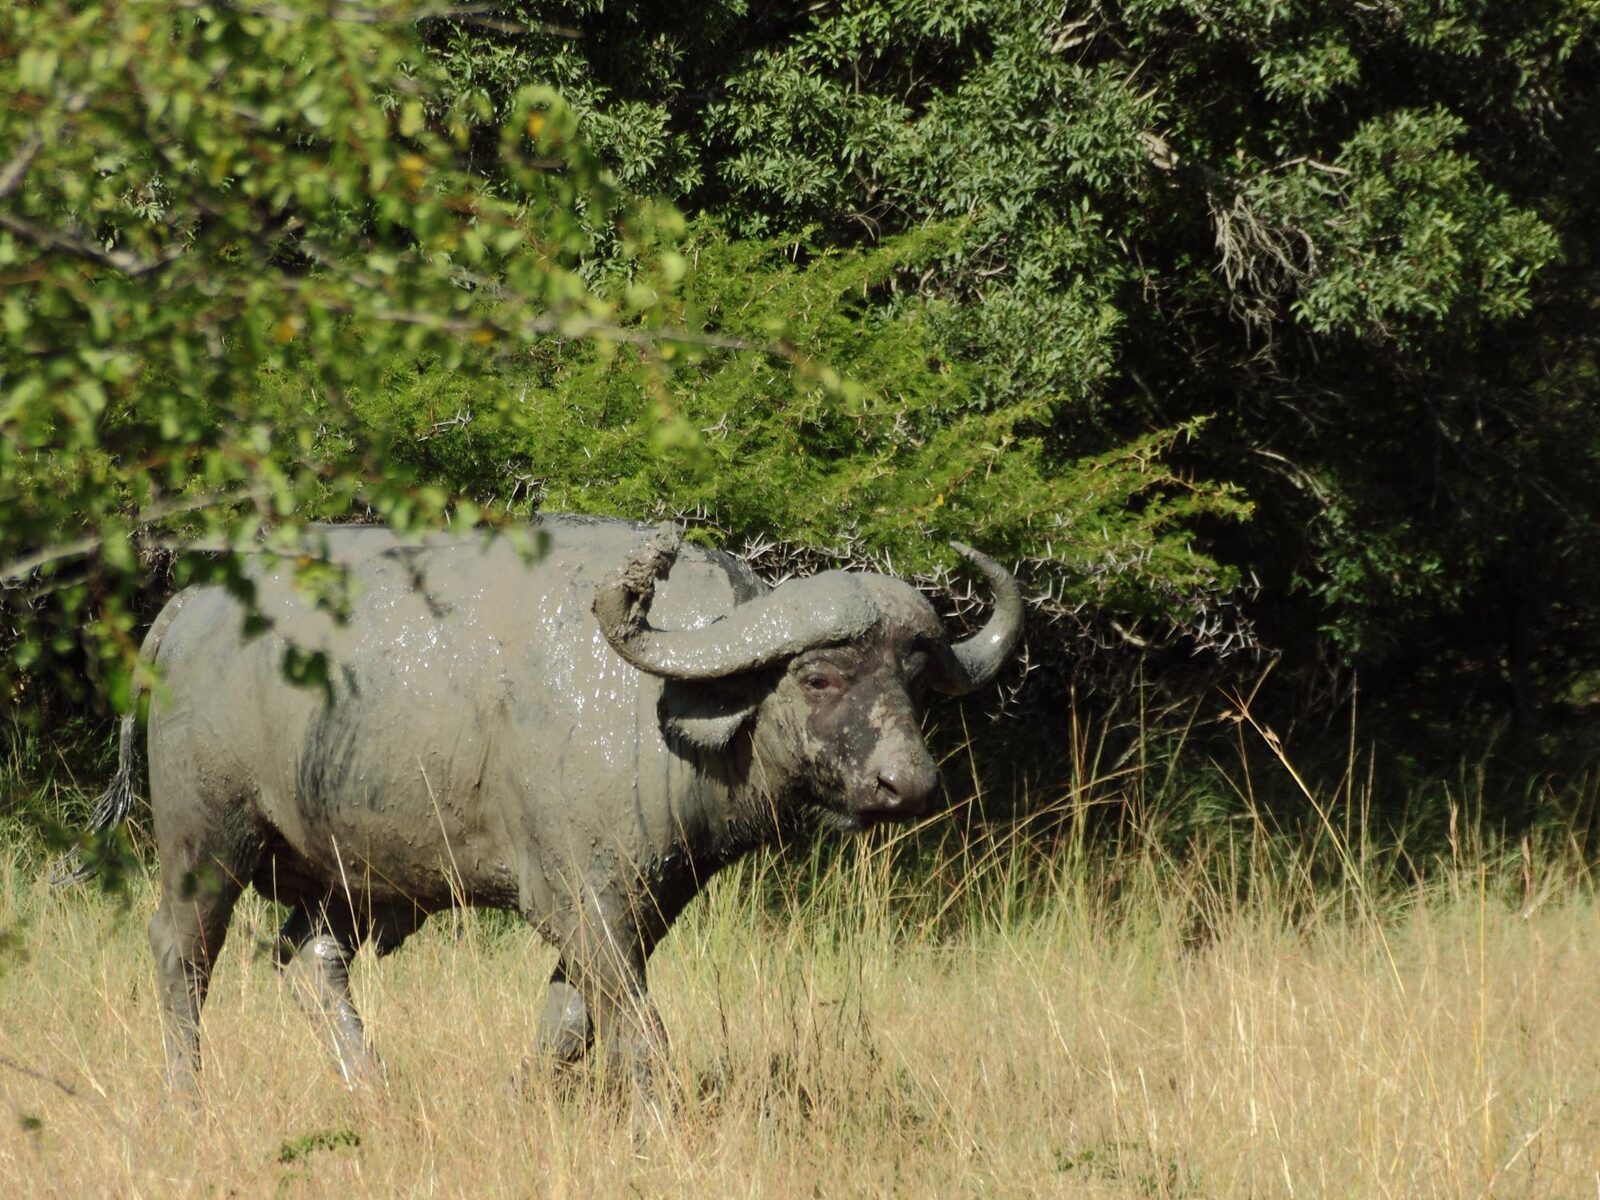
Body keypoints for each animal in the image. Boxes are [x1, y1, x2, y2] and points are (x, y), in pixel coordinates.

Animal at [76, 514, 1021, 1094]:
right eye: (820, 677)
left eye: (912, 680)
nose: (909, 783)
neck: (657, 707)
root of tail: (187, 609)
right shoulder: (585, 897)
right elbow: (638, 1029)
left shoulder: (640, 903)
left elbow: (571, 1023)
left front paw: (520, 1094)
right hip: (207, 837)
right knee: (183, 954)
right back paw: (187, 1094)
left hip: (347, 875)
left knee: (309, 962)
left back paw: (374, 1089)